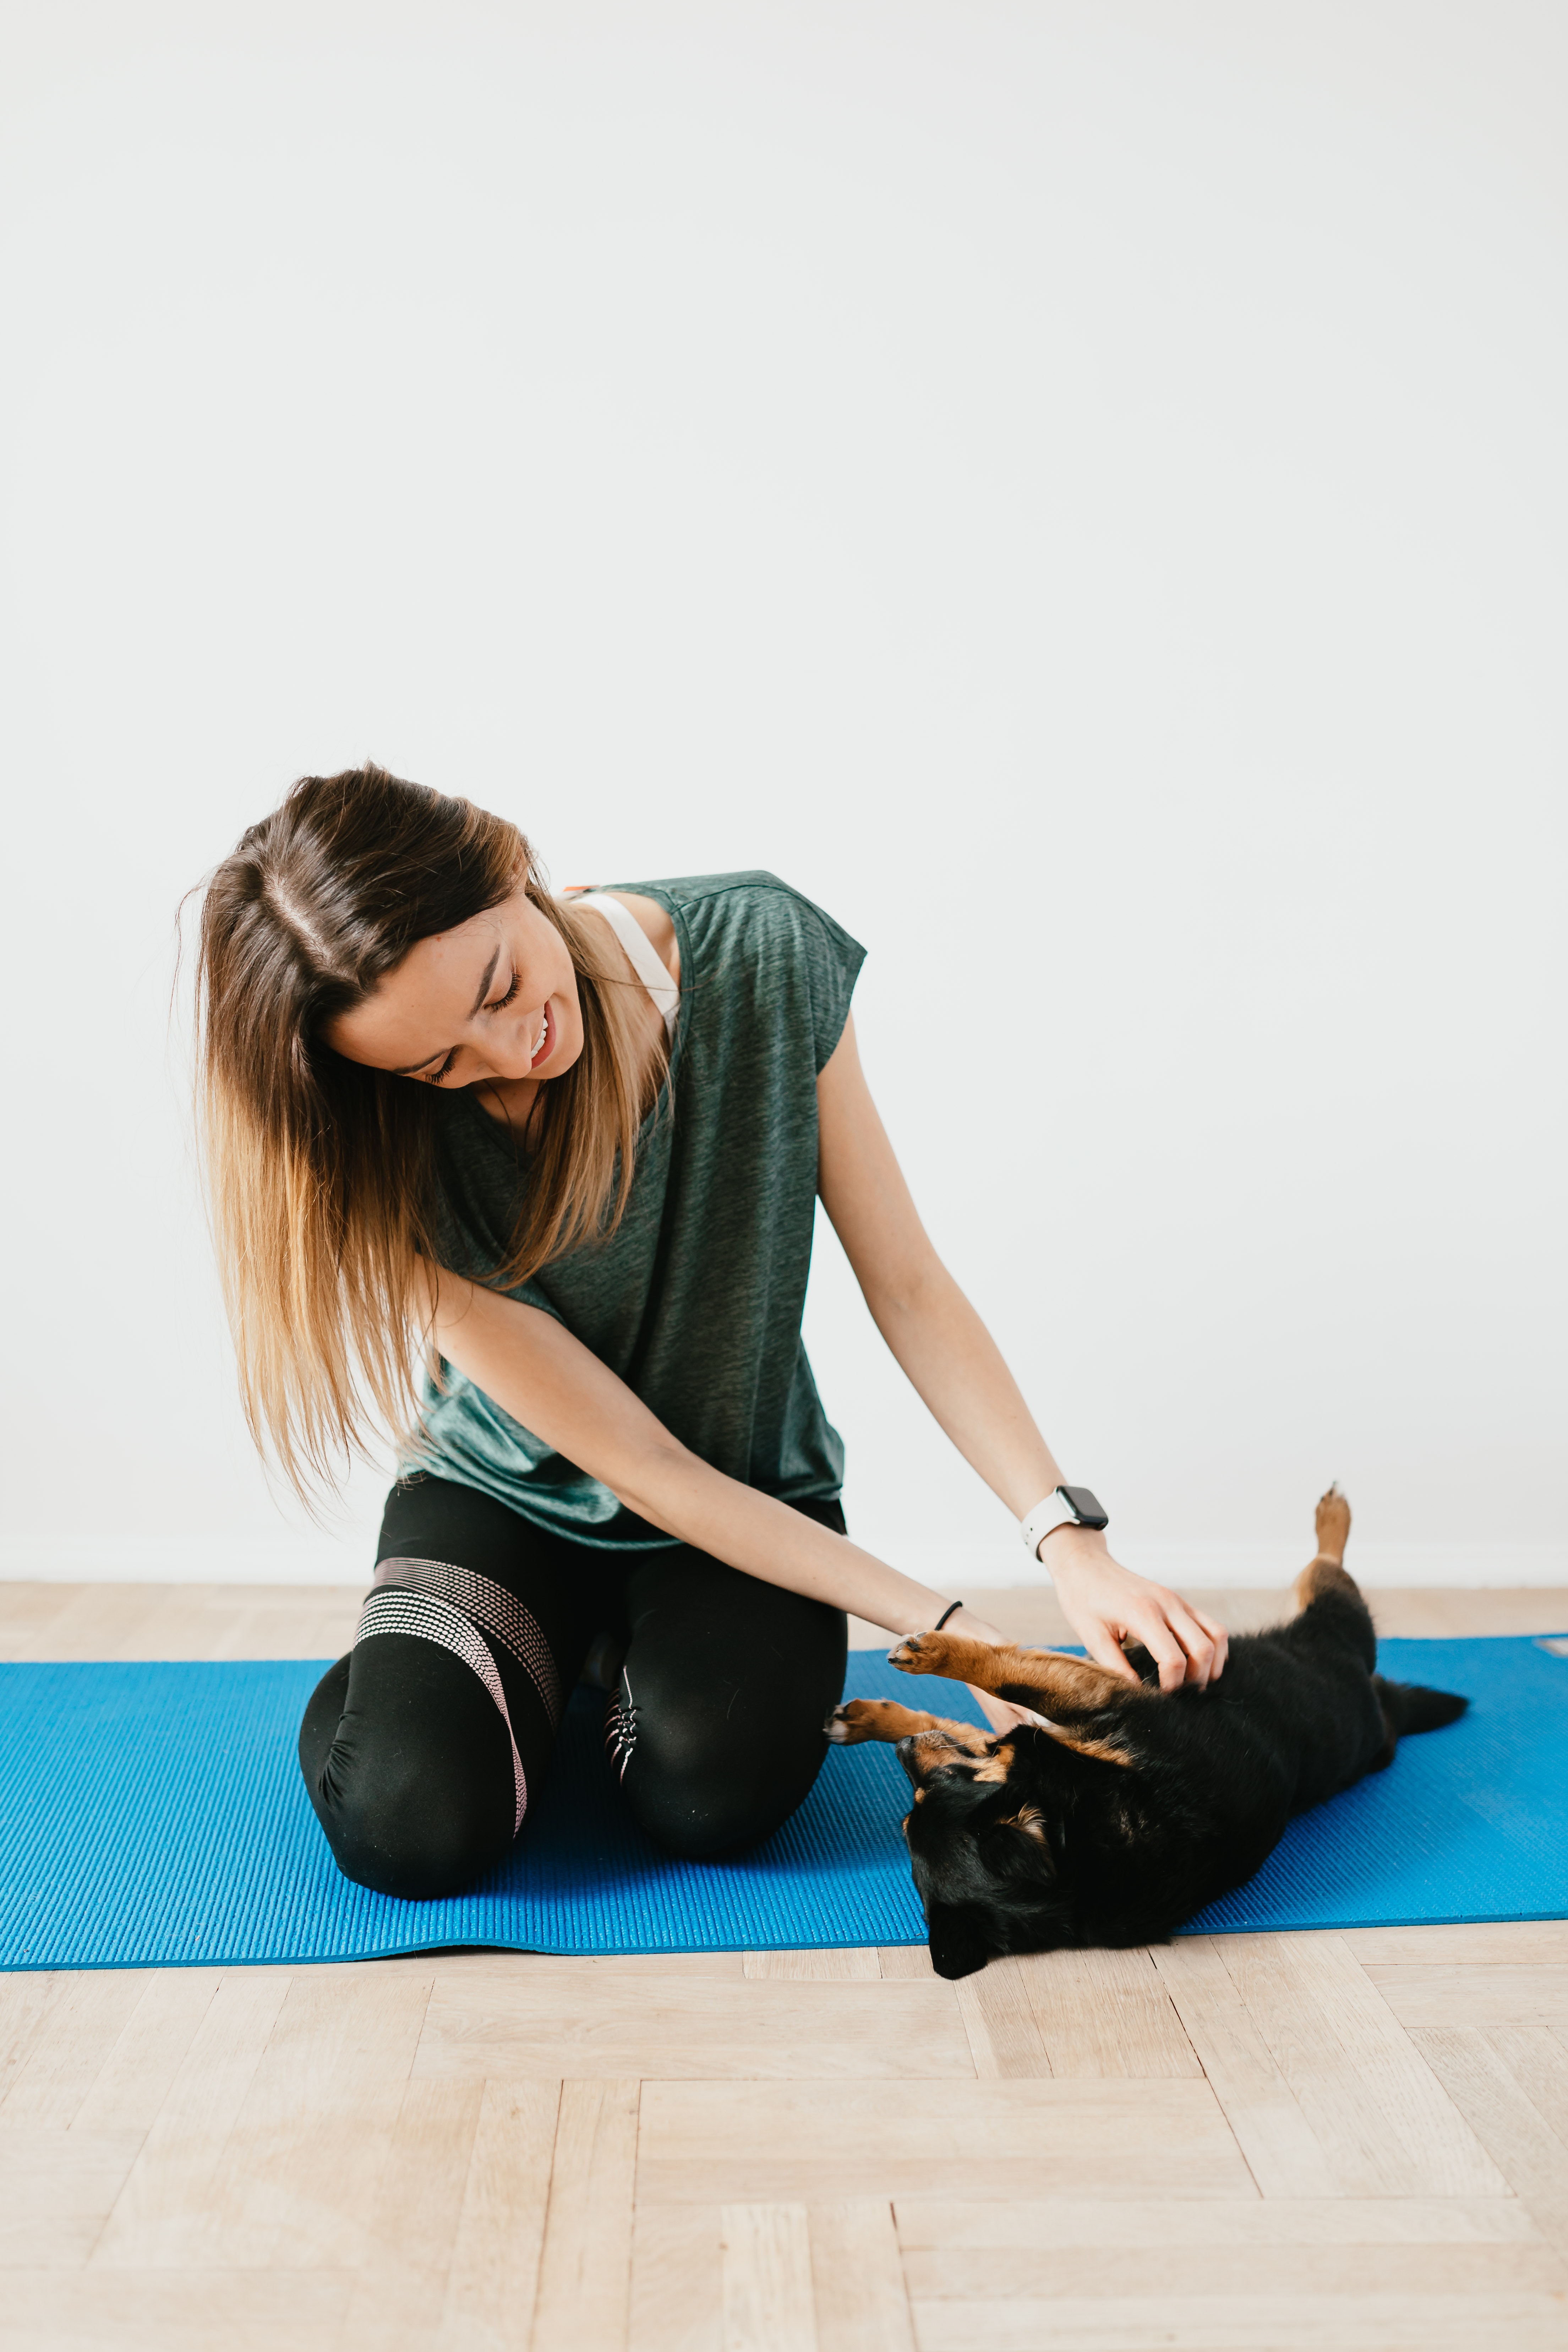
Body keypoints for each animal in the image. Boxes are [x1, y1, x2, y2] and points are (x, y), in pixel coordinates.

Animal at [827, 1496, 1467, 1976]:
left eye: (934, 1790)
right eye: (910, 1813)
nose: (902, 1752)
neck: (1085, 1832)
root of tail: (1383, 1708)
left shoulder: (1099, 1694)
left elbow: (1000, 1672)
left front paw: (914, 1673)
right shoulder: (1076, 1711)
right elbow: (986, 1701)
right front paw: (881, 1715)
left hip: (1333, 1624)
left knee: (1327, 1569)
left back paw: (1332, 1513)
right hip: (1331, 1631)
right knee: (1325, 1575)